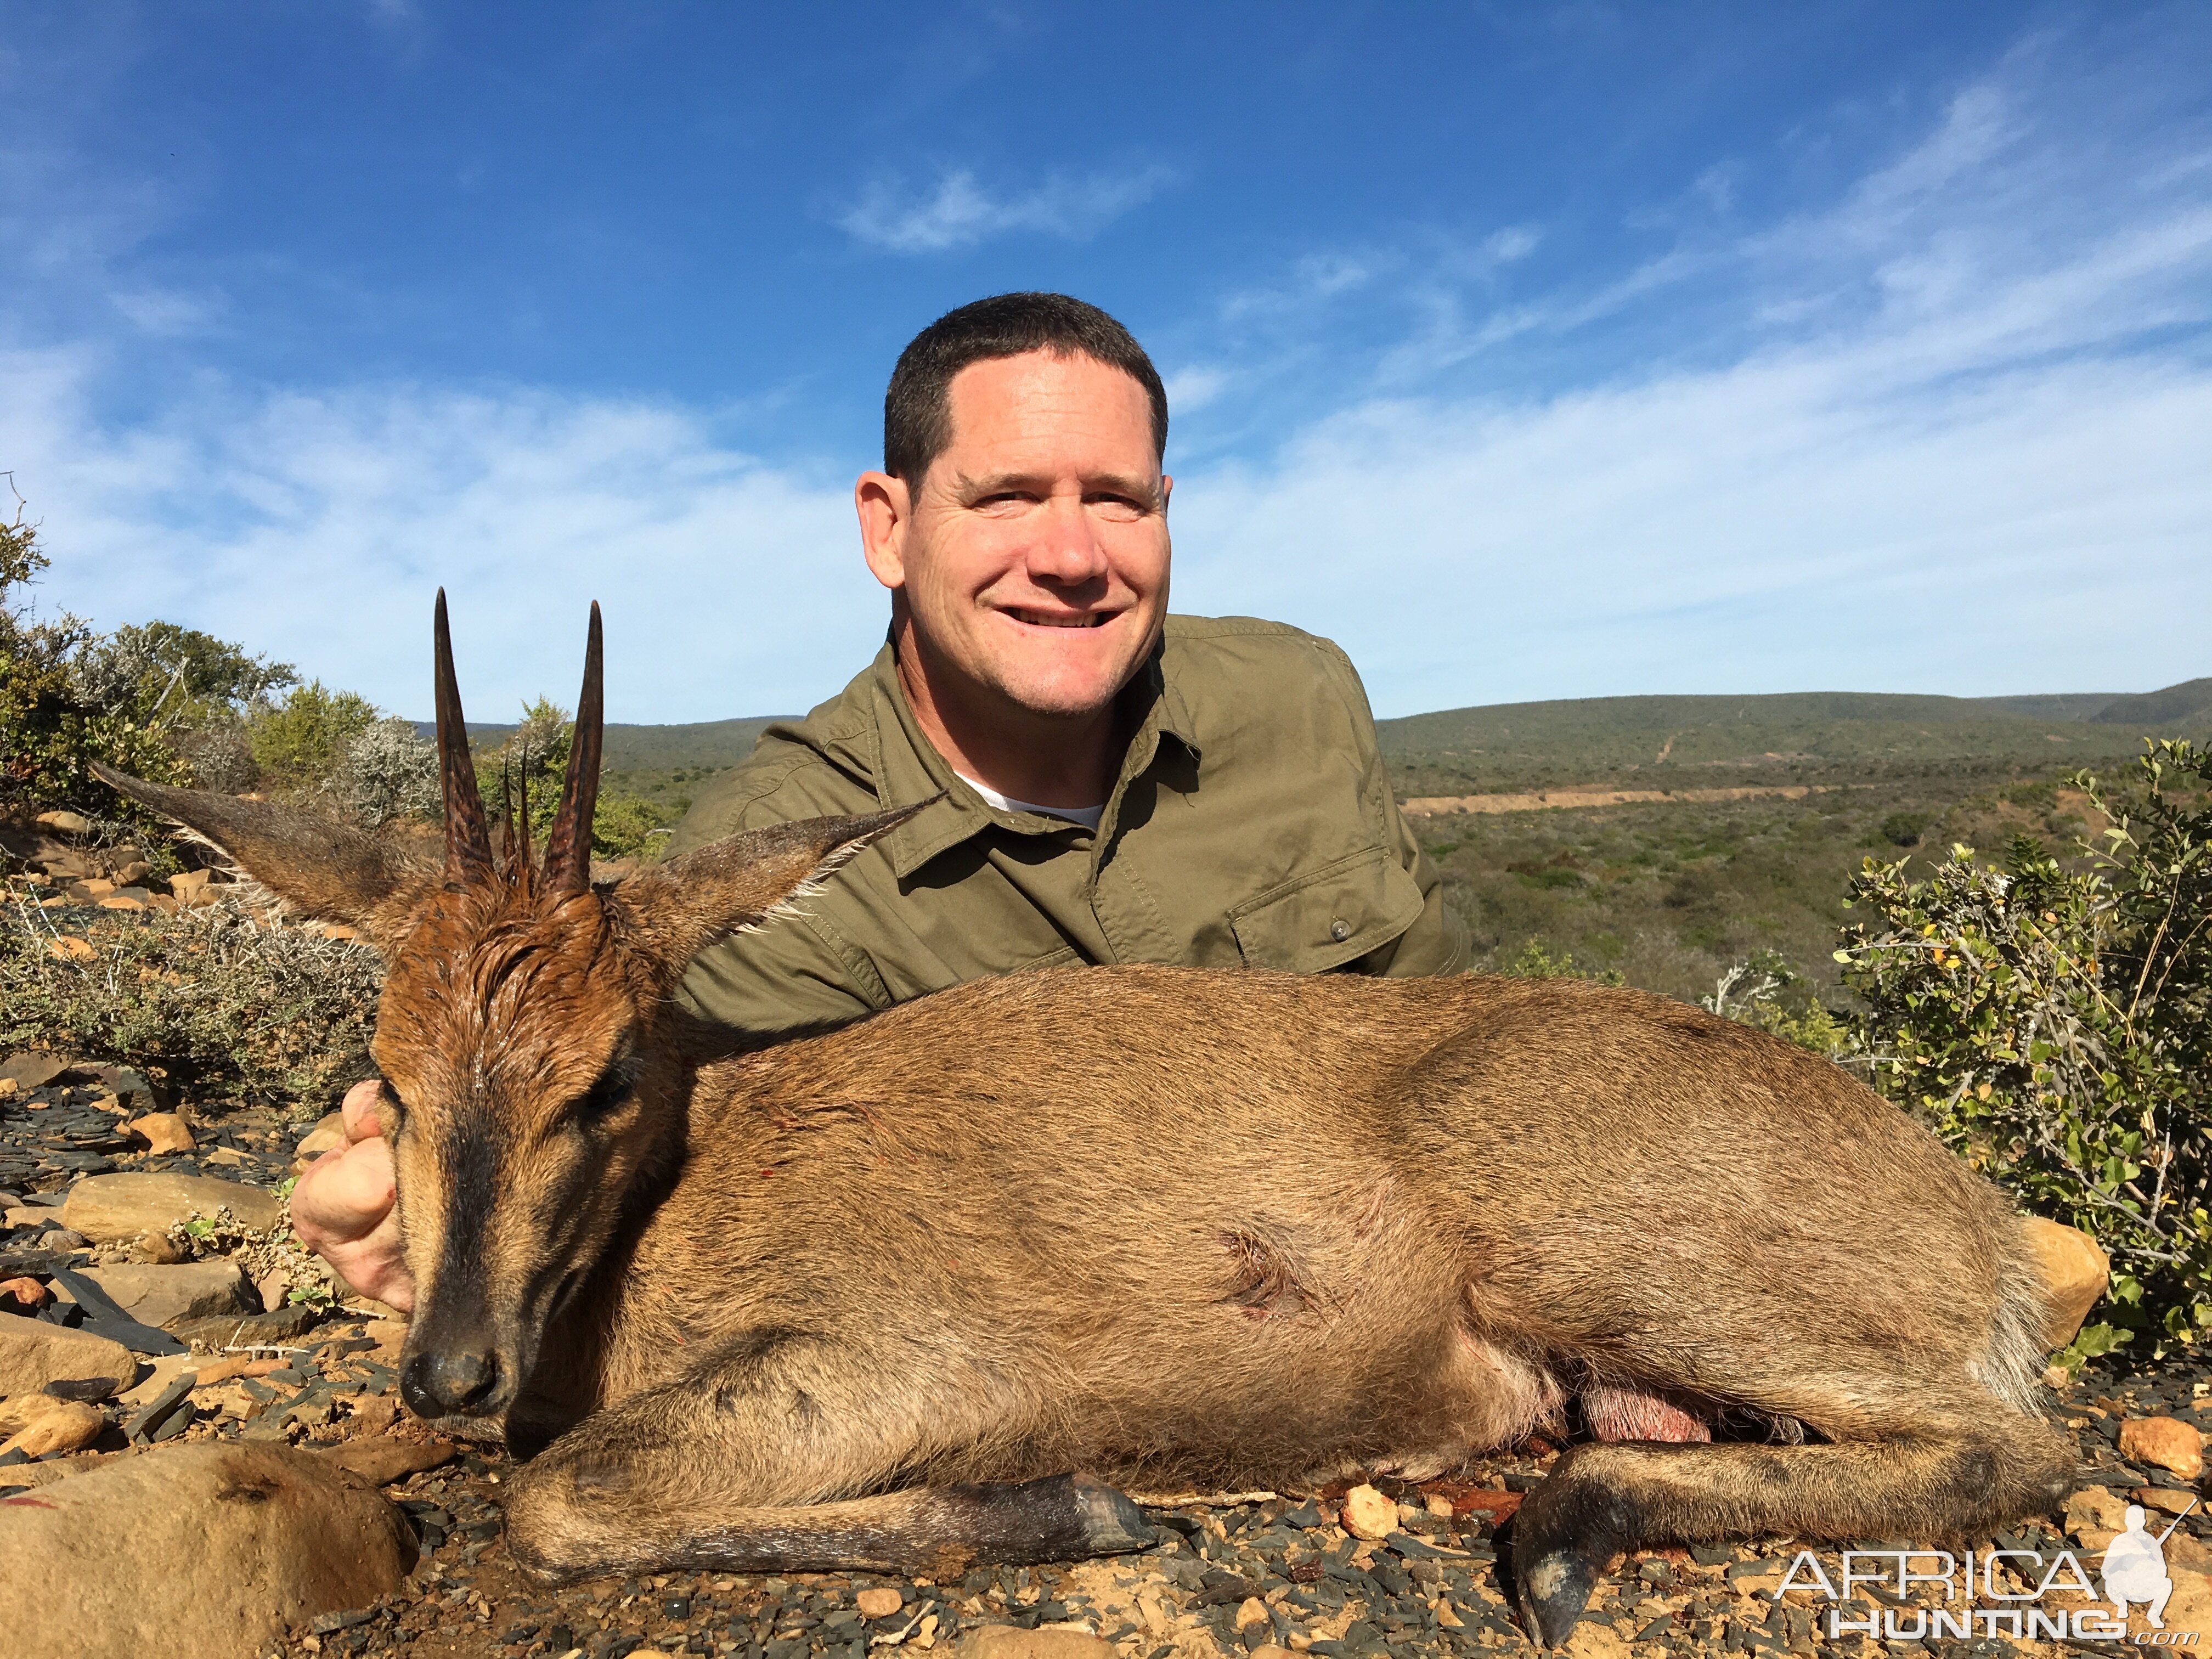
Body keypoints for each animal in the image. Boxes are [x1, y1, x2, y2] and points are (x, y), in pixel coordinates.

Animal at [99, 597, 2070, 1654]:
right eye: (388, 1068)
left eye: (607, 1073)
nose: (446, 1368)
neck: (688, 1197)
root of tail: (1969, 1224)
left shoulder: (890, 1361)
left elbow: (562, 1498)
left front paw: (1088, 1504)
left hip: (1617, 1263)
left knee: (2017, 1448)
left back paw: (1561, 1530)